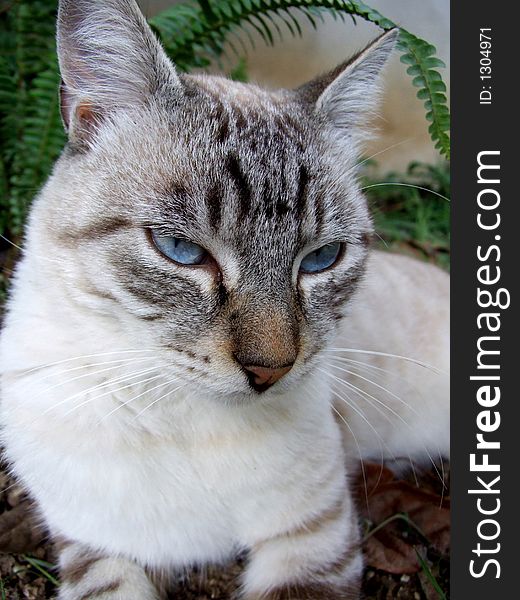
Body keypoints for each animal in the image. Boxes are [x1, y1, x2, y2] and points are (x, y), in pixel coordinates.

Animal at [0, 1, 448, 600]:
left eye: (321, 259)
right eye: (181, 250)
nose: (271, 370)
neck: (179, 414)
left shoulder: (316, 539)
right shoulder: (93, 543)